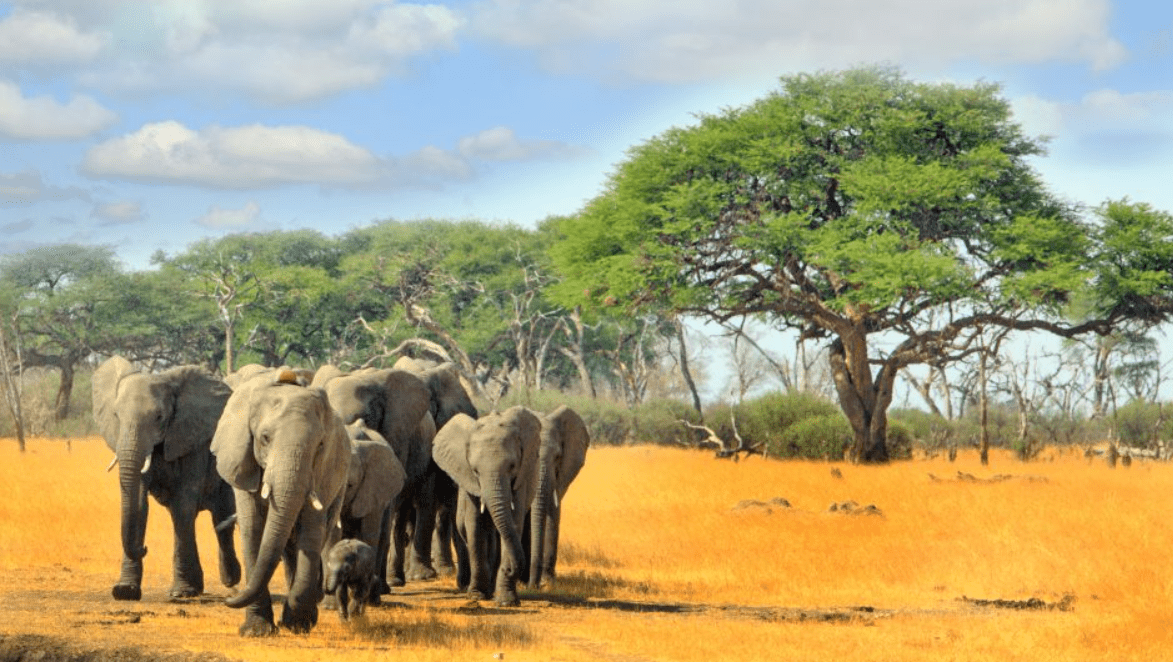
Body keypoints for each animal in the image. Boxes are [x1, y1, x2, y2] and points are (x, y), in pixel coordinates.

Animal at [92, 355, 240, 601]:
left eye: (159, 417)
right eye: (116, 416)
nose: (144, 548)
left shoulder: (193, 438)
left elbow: (184, 505)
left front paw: (181, 593)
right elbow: (139, 504)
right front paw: (124, 591)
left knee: (222, 516)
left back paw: (230, 580)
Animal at [211, 368, 351, 636]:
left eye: (320, 445)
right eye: (265, 438)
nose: (227, 599)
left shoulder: (321, 474)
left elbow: (311, 530)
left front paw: (296, 624)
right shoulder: (242, 462)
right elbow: (253, 529)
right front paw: (256, 631)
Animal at [432, 406, 541, 606]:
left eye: (512, 466)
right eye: (475, 471)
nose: (510, 570)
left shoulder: (520, 480)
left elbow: (514, 522)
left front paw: (506, 601)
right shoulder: (471, 483)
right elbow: (475, 526)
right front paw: (477, 595)